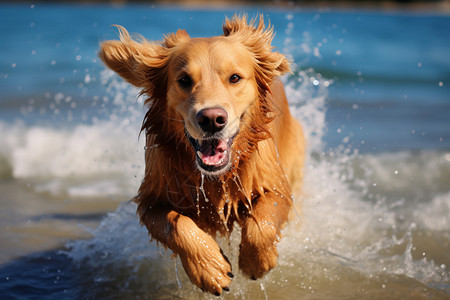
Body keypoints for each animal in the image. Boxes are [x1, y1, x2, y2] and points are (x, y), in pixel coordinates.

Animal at [98, 15, 302, 294]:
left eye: (235, 78)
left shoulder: (276, 185)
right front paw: (209, 268)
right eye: (184, 80)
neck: (216, 177)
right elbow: (176, 224)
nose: (211, 119)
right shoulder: (151, 199)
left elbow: (263, 222)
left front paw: (256, 260)